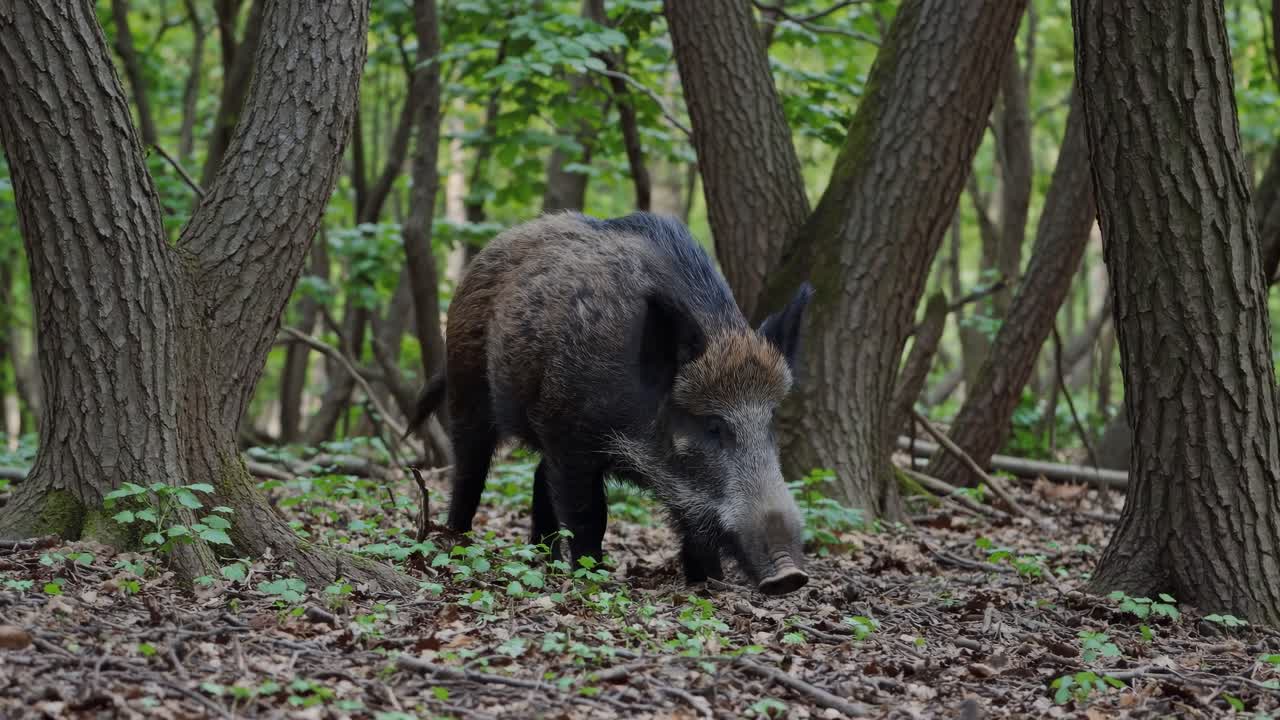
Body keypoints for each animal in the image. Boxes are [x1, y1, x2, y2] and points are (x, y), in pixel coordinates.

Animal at [406, 211, 814, 596]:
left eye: (770, 419)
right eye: (713, 425)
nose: (790, 576)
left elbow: (693, 528)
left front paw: (709, 583)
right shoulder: (571, 439)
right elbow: (590, 515)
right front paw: (594, 577)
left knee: (539, 478)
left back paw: (544, 561)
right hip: (468, 388)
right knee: (469, 470)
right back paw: (457, 541)